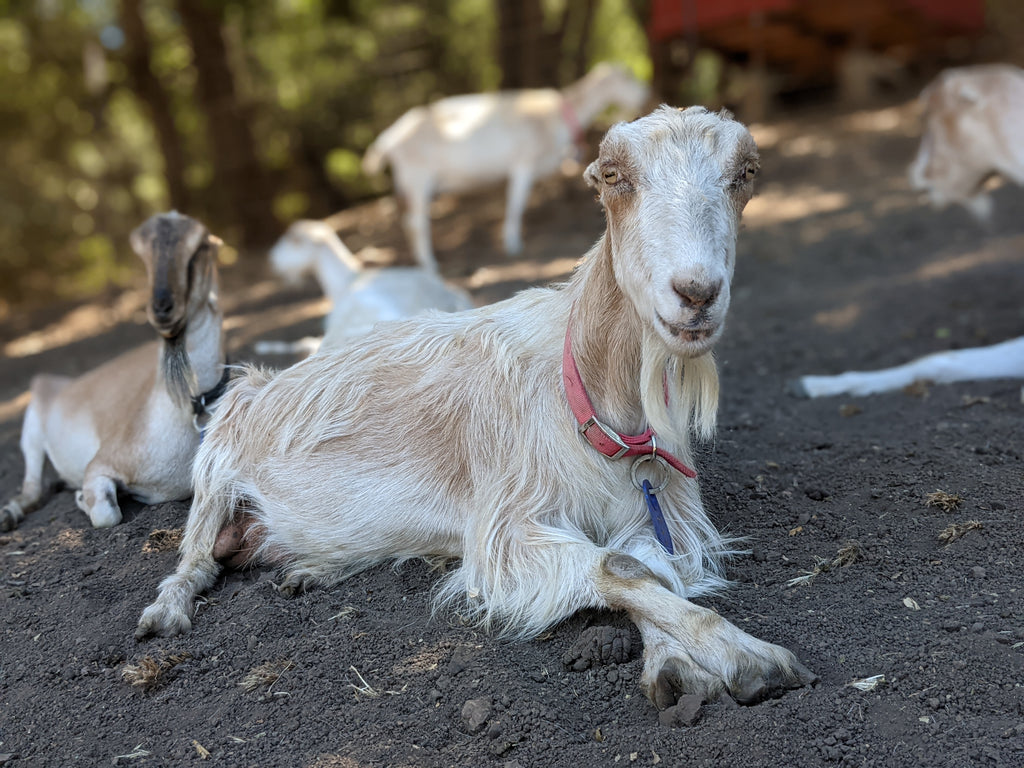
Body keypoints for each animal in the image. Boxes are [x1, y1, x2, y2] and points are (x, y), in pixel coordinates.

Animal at [0, 214, 228, 532]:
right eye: (142, 253)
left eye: (201, 246)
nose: (162, 308)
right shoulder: (99, 464)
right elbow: (107, 515)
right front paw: (83, 497)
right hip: (31, 430)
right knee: (32, 488)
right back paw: (9, 515)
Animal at [360, 64, 647, 274]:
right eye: (628, 77)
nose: (646, 92)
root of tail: (388, 140)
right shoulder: (523, 162)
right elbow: (516, 203)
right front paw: (512, 243)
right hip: (417, 177)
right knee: (416, 222)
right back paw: (429, 264)